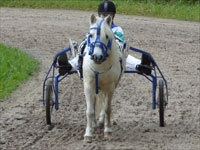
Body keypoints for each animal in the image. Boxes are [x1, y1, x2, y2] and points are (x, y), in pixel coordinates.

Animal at [82, 13, 126, 142]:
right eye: (91, 35)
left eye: (106, 36)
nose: (97, 56)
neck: (100, 66)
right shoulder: (89, 86)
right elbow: (90, 110)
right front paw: (88, 133)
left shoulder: (110, 87)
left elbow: (107, 109)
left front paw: (108, 131)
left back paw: (101, 122)